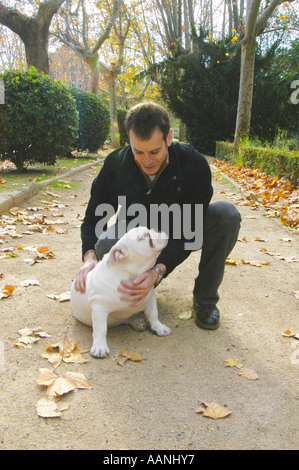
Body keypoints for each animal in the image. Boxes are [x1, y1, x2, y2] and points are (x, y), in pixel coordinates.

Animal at [70, 227, 172, 356]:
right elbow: (100, 329)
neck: (131, 274)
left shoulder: (149, 296)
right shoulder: (99, 308)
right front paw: (100, 347)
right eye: (144, 235)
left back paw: (137, 322)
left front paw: (159, 327)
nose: (158, 230)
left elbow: (153, 314)